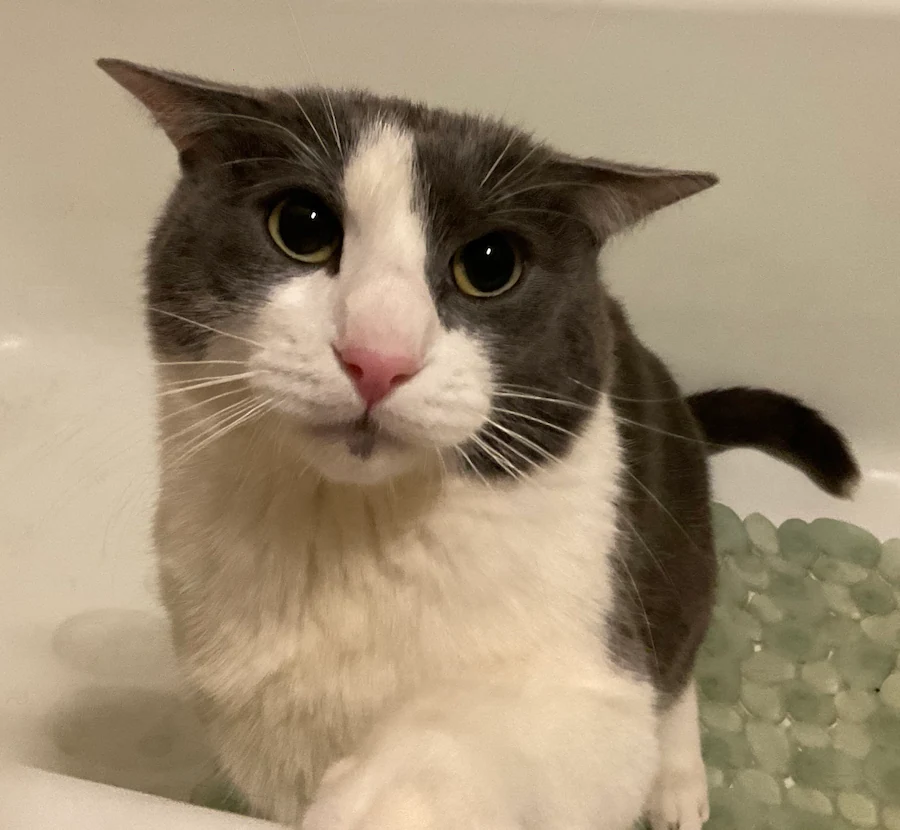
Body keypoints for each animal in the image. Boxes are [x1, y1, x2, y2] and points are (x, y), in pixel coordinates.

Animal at [98, 60, 856, 830]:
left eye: (490, 266)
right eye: (302, 228)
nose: (378, 357)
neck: (353, 534)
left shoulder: (595, 666)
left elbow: (523, 727)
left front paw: (394, 797)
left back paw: (677, 784)